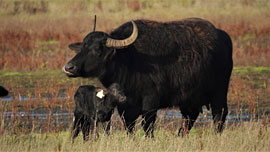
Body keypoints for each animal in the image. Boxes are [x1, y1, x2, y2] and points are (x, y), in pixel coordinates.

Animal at [64, 18, 233, 138]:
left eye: (97, 49)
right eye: (82, 46)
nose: (68, 68)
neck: (129, 59)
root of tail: (223, 36)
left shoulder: (150, 102)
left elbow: (147, 126)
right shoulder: (125, 107)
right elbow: (129, 126)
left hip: (219, 92)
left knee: (219, 115)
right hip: (189, 99)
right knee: (189, 117)